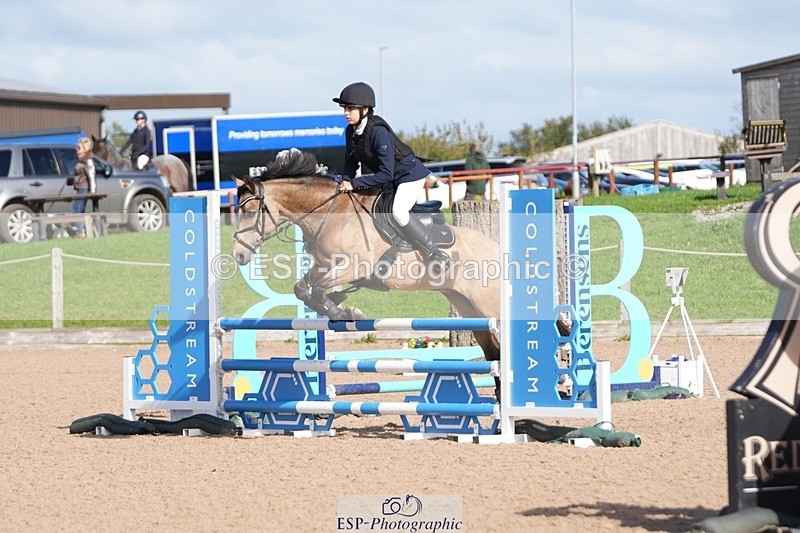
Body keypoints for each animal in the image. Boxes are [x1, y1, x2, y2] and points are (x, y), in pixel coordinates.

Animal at [232, 149, 502, 369]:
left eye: (249, 212)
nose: (239, 255)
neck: (330, 214)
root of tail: (494, 248)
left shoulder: (355, 267)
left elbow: (317, 289)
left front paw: (345, 311)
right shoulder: (324, 265)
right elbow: (301, 289)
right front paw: (340, 306)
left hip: (487, 306)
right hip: (467, 306)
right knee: (493, 353)